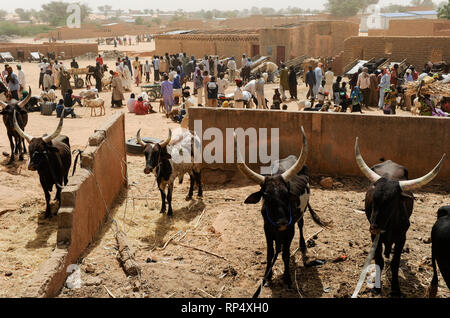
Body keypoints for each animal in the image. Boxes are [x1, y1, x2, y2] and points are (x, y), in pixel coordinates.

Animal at [237, 126, 328, 288]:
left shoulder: (289, 230)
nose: (282, 222)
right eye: (266, 196)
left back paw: (303, 246)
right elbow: (270, 252)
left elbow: (285, 253)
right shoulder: (267, 229)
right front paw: (267, 276)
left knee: (301, 225)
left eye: (286, 194)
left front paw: (287, 277)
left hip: (302, 213)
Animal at [356, 138, 446, 296]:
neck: (388, 225)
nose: (374, 226)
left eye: (392, 201)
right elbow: (379, 260)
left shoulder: (401, 237)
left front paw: (396, 289)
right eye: (374, 199)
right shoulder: (374, 237)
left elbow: (395, 263)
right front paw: (378, 287)